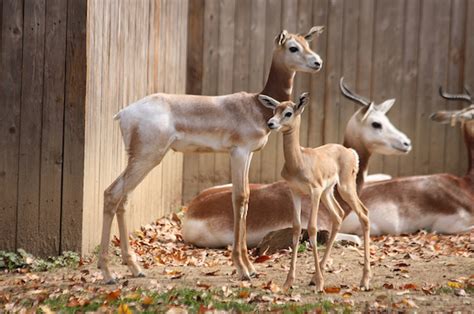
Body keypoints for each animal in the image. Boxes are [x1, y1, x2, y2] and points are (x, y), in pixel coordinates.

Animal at [97, 26, 324, 282]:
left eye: (307, 43)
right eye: (293, 47)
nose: (317, 62)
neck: (256, 106)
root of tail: (124, 112)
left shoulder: (248, 154)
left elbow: (245, 199)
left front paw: (250, 267)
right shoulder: (239, 153)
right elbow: (240, 198)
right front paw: (243, 269)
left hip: (138, 160)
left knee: (123, 199)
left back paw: (135, 268)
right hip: (146, 158)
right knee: (112, 193)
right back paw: (108, 273)